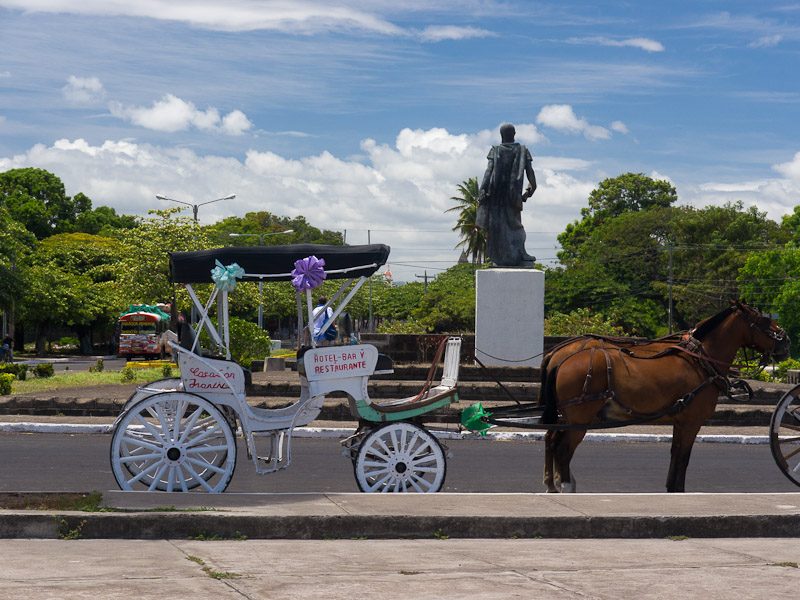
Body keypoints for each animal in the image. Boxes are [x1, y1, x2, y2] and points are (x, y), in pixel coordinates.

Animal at [536, 300, 788, 492]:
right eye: (762, 319)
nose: (786, 340)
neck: (700, 359)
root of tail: (561, 358)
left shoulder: (680, 421)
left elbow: (675, 455)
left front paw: (671, 489)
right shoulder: (691, 422)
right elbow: (683, 458)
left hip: (568, 417)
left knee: (551, 439)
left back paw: (552, 484)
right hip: (580, 418)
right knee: (562, 448)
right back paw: (565, 486)